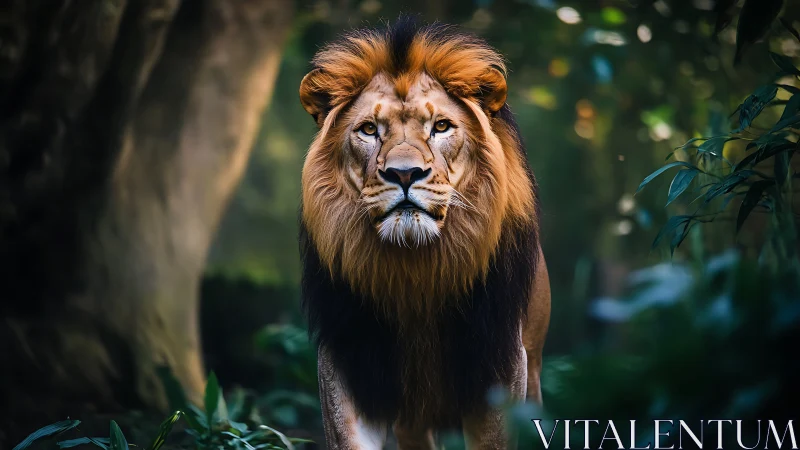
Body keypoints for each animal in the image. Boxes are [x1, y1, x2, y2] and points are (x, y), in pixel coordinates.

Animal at [298, 18, 551, 450]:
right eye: (369, 130)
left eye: (442, 127)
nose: (404, 173)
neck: (415, 274)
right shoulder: (347, 361)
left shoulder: (499, 362)